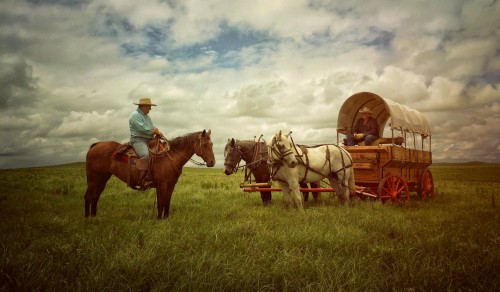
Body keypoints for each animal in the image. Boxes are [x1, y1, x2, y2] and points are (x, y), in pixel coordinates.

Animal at [83, 130, 215, 219]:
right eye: (204, 145)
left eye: (212, 144)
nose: (212, 162)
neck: (170, 157)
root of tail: (96, 145)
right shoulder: (162, 185)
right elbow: (161, 203)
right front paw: (159, 220)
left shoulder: (171, 185)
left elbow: (167, 202)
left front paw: (166, 219)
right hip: (93, 178)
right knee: (88, 196)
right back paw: (88, 219)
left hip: (103, 179)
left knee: (95, 197)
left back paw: (94, 217)